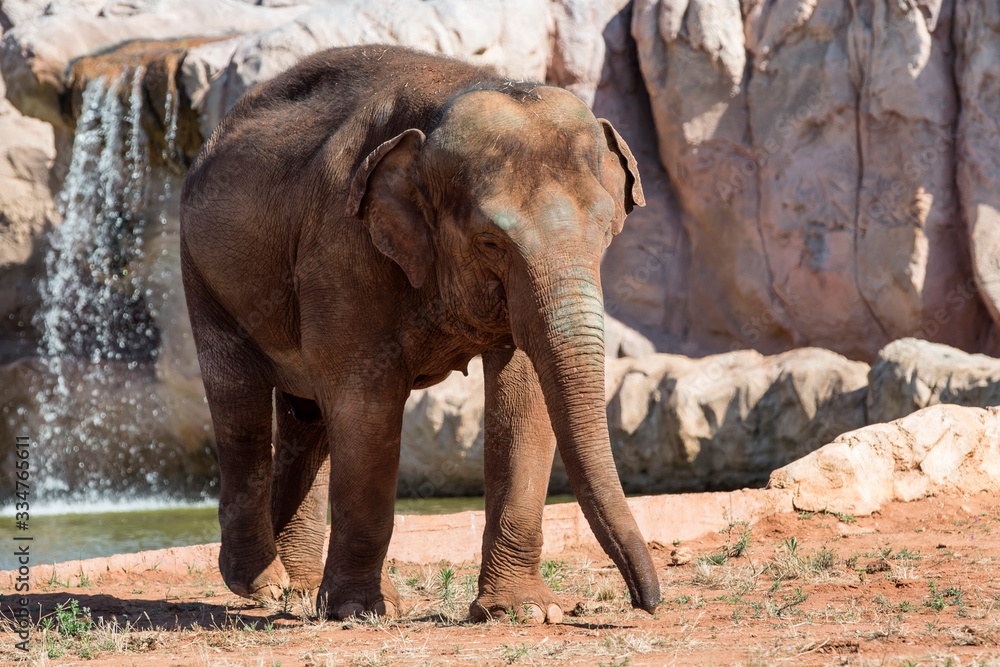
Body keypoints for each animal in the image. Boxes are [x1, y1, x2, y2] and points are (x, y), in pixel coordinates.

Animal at [180, 44, 660, 624]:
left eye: (607, 232)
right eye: (490, 242)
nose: (646, 603)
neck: (454, 96)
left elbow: (525, 397)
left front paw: (522, 611)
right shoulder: (343, 246)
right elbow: (367, 406)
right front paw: (361, 612)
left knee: (306, 416)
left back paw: (297, 590)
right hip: (203, 274)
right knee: (240, 406)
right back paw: (261, 585)